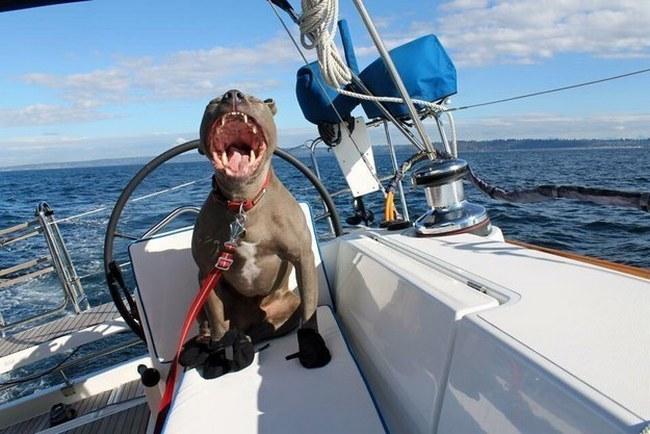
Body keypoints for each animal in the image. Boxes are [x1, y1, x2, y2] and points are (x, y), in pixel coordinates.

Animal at [187, 90, 330, 372]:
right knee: (212, 324)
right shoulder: (206, 270)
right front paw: (219, 350)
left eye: (254, 99)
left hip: (286, 303)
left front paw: (311, 344)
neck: (243, 202)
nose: (232, 94)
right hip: (204, 295)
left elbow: (309, 311)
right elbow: (217, 321)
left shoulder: (303, 257)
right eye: (211, 103)